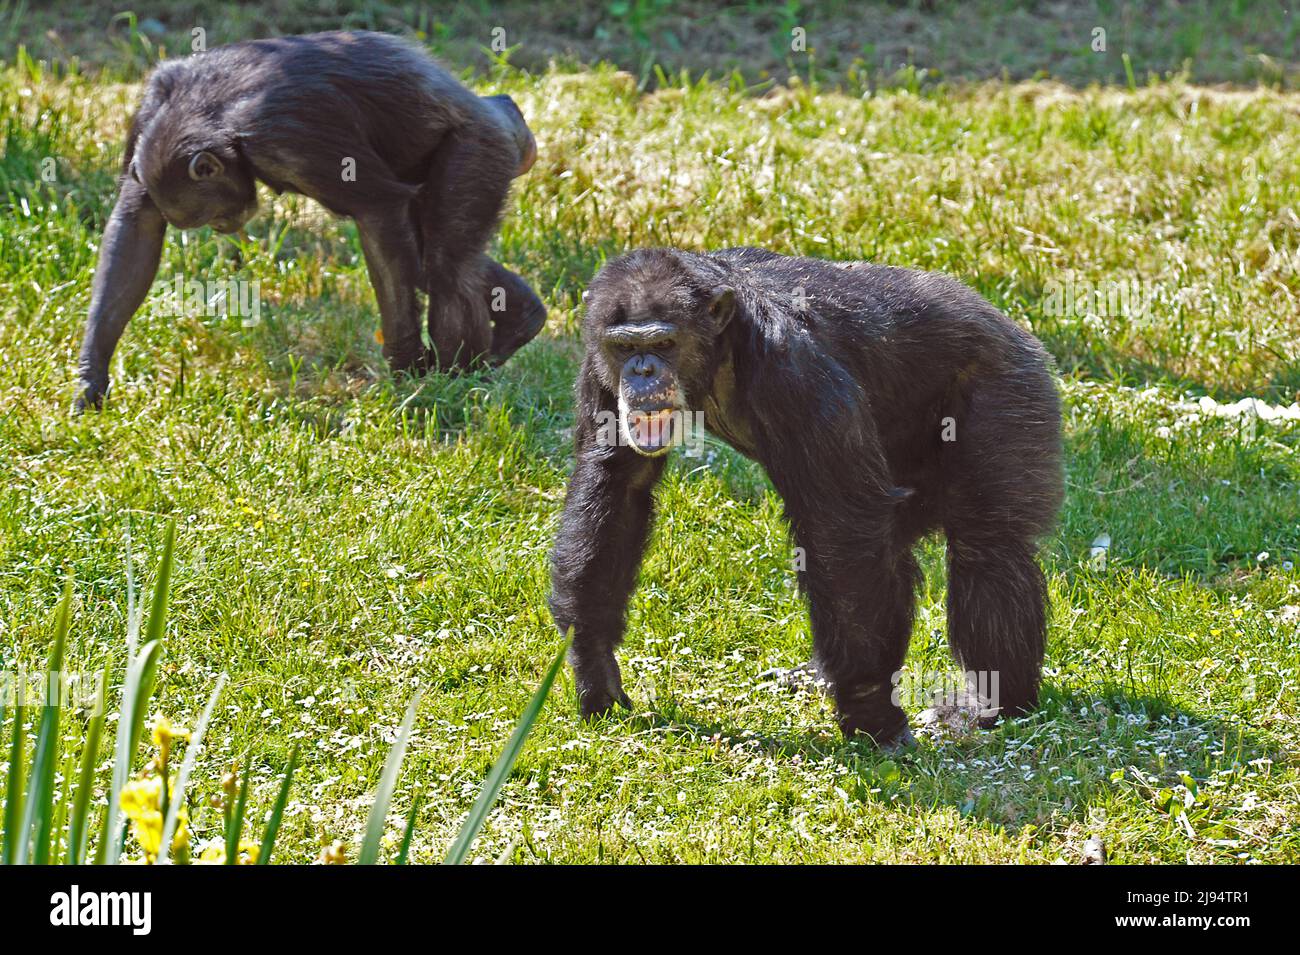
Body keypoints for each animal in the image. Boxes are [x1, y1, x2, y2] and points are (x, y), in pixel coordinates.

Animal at [76, 28, 543, 410]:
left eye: (208, 212)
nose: (222, 227)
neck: (216, 116)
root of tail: (507, 117)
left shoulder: (289, 135)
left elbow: (377, 214)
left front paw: (407, 371)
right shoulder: (147, 116)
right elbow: (137, 228)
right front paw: (90, 381)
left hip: (481, 149)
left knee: (446, 266)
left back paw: (456, 383)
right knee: (433, 261)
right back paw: (522, 321)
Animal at [548, 248, 1066, 753]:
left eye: (662, 344)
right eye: (624, 347)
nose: (642, 370)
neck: (719, 354)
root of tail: (1014, 326)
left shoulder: (798, 375)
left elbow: (843, 526)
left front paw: (871, 713)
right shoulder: (597, 369)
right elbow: (618, 482)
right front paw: (595, 667)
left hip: (1011, 393)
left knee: (986, 546)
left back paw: (995, 704)